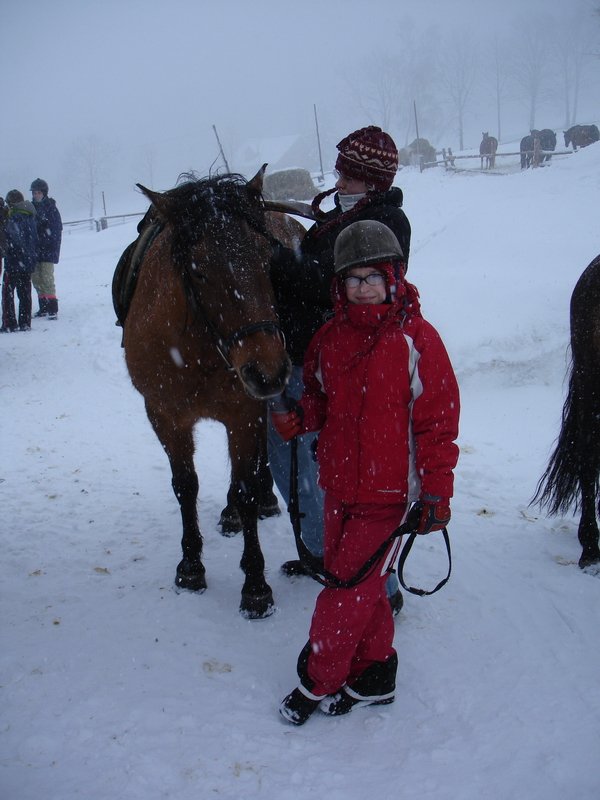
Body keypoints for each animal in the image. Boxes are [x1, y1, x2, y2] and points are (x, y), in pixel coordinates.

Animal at [116, 169, 294, 620]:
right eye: (198, 272)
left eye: (267, 257)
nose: (267, 369)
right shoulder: (164, 415)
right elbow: (185, 486)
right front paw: (191, 565)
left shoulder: (245, 413)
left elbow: (246, 488)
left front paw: (255, 585)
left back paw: (263, 500)